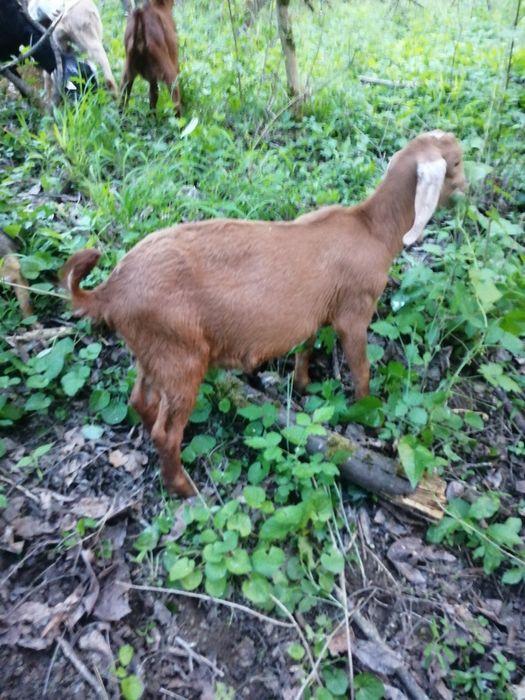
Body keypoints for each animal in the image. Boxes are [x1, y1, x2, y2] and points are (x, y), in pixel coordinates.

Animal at [62, 131, 466, 498]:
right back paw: (185, 488)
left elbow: (307, 346)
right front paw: (365, 413)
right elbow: (361, 368)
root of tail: (110, 291)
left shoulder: (313, 312)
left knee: (140, 401)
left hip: (153, 350)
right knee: (166, 431)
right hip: (181, 356)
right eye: (456, 163)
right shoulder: (354, 310)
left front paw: (301, 384)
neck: (370, 229)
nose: (467, 189)